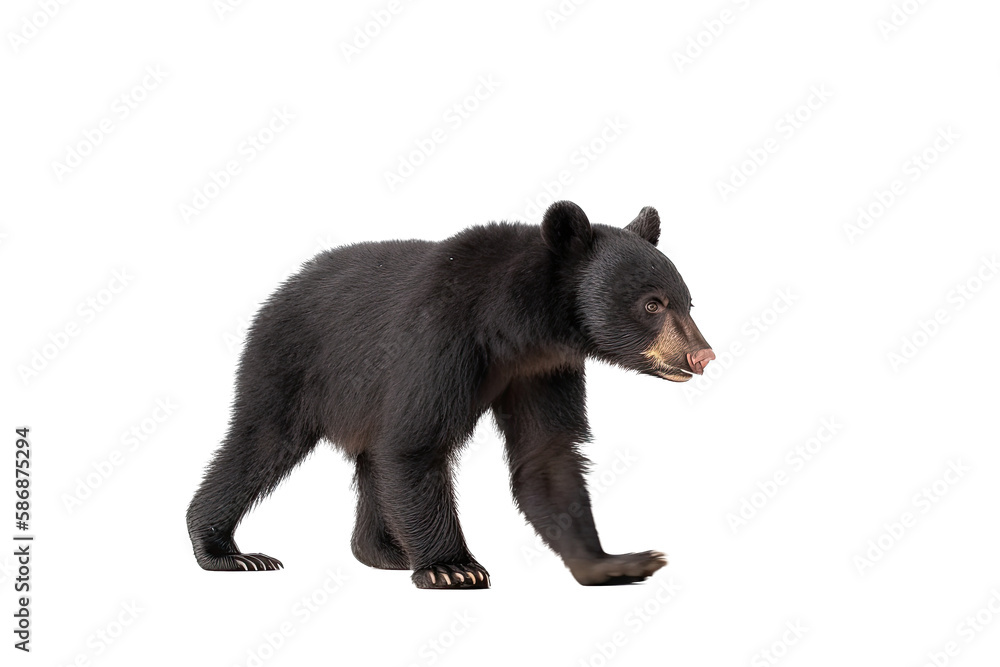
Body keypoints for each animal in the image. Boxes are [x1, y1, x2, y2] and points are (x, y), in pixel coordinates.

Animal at [186, 200, 714, 589]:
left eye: (688, 302)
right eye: (652, 304)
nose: (702, 356)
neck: (512, 326)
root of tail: (282, 287)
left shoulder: (541, 369)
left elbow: (547, 457)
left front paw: (613, 561)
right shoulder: (439, 337)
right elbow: (416, 442)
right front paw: (453, 567)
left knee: (371, 463)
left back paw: (384, 551)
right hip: (292, 362)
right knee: (262, 442)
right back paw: (226, 550)